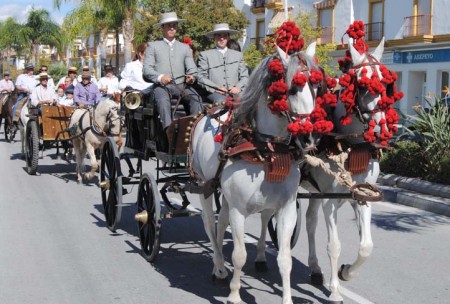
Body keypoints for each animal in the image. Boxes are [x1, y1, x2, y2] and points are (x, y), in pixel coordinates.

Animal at [192, 43, 318, 304]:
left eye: (317, 86)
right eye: (292, 88)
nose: (309, 138)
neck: (266, 149)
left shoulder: (286, 209)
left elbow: (285, 259)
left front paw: (287, 299)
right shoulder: (239, 210)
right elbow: (239, 255)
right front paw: (234, 295)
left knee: (221, 223)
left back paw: (219, 267)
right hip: (204, 185)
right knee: (209, 222)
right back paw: (219, 267)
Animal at [306, 36, 398, 302]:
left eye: (386, 84)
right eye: (363, 85)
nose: (379, 130)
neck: (350, 145)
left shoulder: (362, 194)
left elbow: (366, 246)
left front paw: (346, 273)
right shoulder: (329, 200)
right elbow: (334, 245)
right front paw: (336, 291)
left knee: (309, 222)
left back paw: (315, 269)